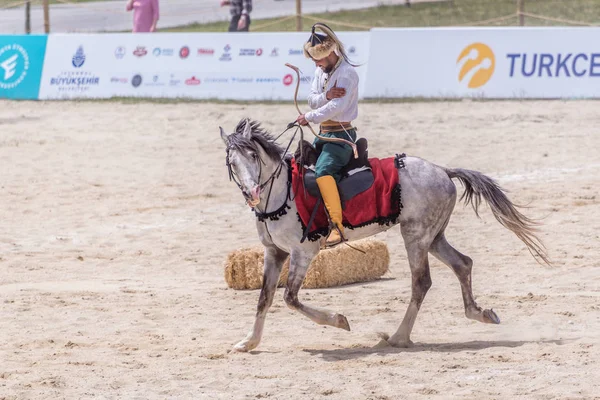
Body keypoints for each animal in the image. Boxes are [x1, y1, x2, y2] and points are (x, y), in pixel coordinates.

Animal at [219, 117, 548, 352]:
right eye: (232, 162)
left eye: (253, 155)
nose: (252, 192)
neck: (282, 192)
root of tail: (442, 170)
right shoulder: (274, 252)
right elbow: (265, 298)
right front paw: (249, 342)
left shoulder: (304, 252)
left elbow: (290, 298)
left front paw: (339, 321)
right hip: (433, 237)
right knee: (462, 264)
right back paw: (478, 313)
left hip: (415, 236)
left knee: (422, 282)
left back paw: (400, 337)